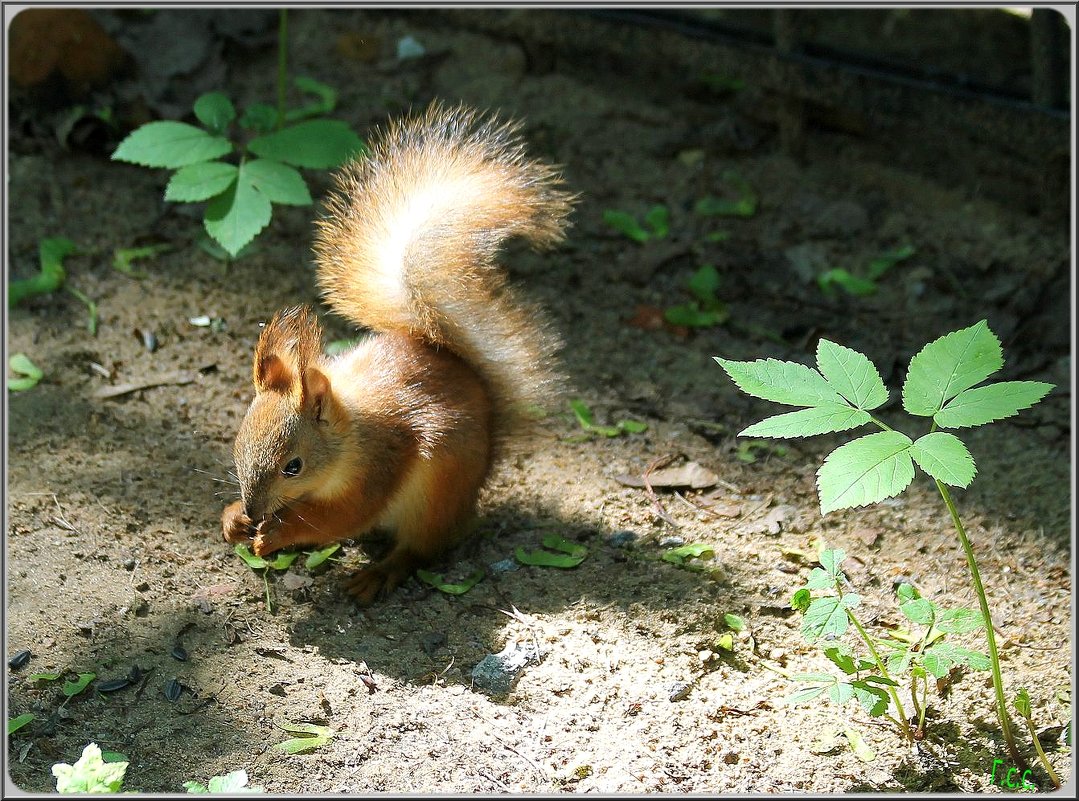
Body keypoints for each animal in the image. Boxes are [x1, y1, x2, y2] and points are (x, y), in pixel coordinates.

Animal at [217, 103, 574, 604]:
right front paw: (233, 519)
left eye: (294, 466)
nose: (253, 510)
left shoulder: (380, 465)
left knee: (419, 549)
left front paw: (277, 533)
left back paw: (379, 573)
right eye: (238, 446)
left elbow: (345, 516)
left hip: (437, 492)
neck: (349, 438)